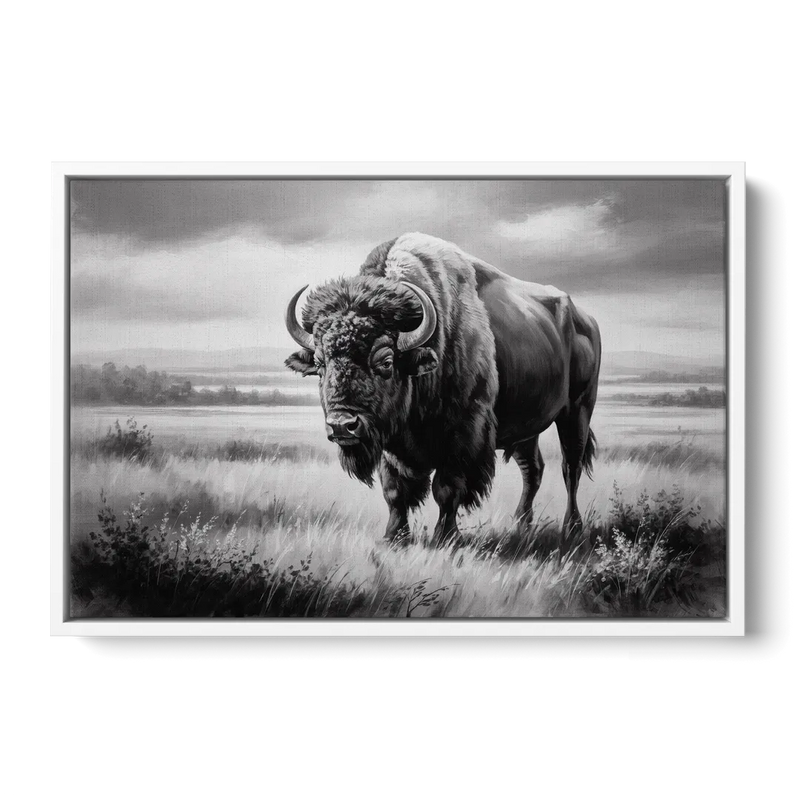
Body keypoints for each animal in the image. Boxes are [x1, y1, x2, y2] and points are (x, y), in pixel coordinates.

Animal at [285, 233, 601, 548]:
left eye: (386, 362)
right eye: (319, 364)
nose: (342, 425)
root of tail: (586, 320)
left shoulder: (463, 434)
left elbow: (447, 489)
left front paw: (445, 538)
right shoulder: (392, 443)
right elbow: (394, 491)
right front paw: (394, 537)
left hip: (577, 411)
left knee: (570, 467)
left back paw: (572, 529)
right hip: (527, 428)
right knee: (532, 469)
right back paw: (522, 526)